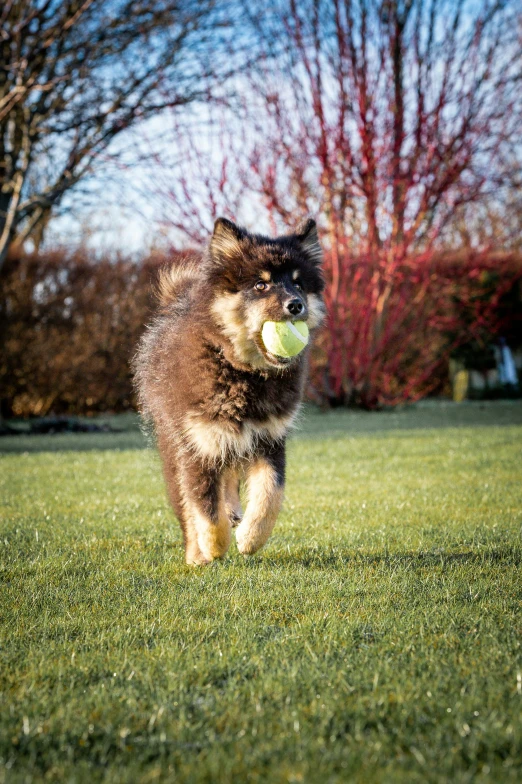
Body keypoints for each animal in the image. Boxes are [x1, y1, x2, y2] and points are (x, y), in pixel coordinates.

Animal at [132, 217, 322, 568]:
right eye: (261, 285)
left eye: (299, 284)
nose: (296, 305)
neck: (244, 372)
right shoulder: (197, 443)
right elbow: (203, 506)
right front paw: (212, 546)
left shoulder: (268, 437)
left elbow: (271, 493)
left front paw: (251, 537)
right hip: (177, 443)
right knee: (187, 505)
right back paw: (197, 550)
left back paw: (235, 513)